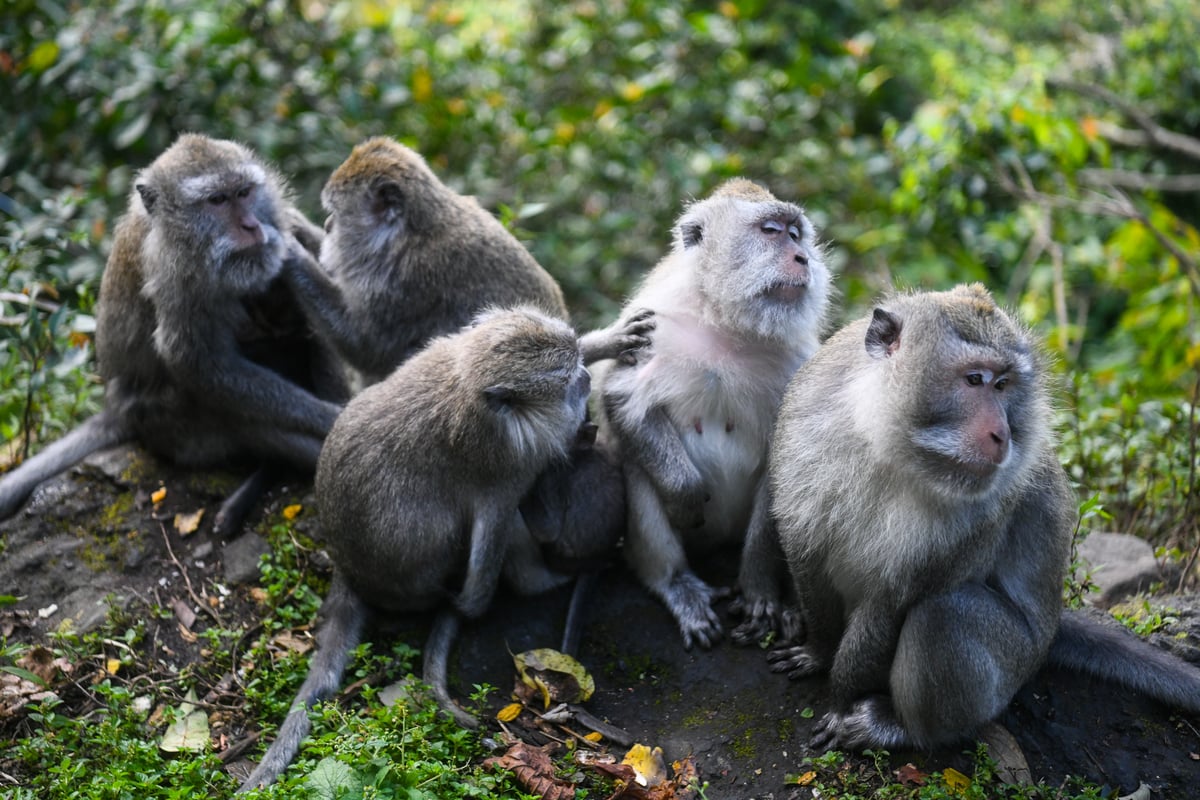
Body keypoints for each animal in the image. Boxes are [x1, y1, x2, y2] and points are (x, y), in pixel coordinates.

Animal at [0, 136, 348, 525]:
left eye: (243, 192)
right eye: (217, 200)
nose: (251, 226)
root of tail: (116, 408)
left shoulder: (283, 219)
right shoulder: (174, 276)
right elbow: (197, 363)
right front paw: (332, 418)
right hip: (166, 424)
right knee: (225, 411)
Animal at [236, 309, 592, 791]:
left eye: (575, 360)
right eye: (567, 381)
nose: (588, 378)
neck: (468, 383)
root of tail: (349, 569)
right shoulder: (510, 464)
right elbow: (495, 528)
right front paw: (495, 597)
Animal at [595, 179, 830, 652]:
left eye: (796, 235)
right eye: (771, 231)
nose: (803, 259)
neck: (728, 324)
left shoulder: (798, 362)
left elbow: (787, 462)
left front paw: (760, 592)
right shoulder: (654, 324)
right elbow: (622, 396)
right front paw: (685, 497)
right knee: (638, 469)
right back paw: (676, 583)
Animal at [768, 284, 1200, 753]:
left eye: (1003, 384)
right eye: (974, 379)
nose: (1002, 434)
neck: (886, 444)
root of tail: (1050, 633)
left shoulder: (981, 515)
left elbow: (896, 599)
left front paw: (843, 700)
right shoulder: (805, 425)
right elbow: (806, 552)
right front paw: (818, 651)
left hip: (1013, 662)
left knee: (946, 614)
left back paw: (902, 729)